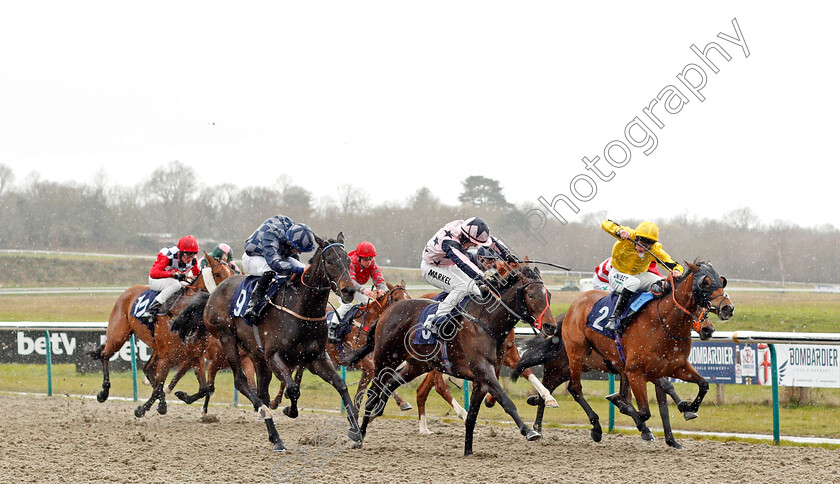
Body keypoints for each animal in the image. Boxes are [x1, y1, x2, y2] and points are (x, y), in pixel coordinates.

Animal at [87, 253, 233, 416]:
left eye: (232, 272)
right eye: (218, 274)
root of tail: (128, 291)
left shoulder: (195, 356)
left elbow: (204, 389)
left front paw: (180, 395)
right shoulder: (168, 357)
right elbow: (158, 387)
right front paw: (141, 409)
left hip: (156, 348)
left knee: (148, 369)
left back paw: (162, 403)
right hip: (118, 335)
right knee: (105, 355)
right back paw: (103, 392)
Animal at [200, 233, 364, 452]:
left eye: (348, 261)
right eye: (329, 261)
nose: (349, 290)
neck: (303, 309)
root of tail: (219, 288)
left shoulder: (316, 358)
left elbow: (340, 385)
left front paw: (355, 431)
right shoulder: (275, 356)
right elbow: (293, 388)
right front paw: (289, 409)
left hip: (256, 355)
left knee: (261, 392)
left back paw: (272, 434)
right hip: (227, 339)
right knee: (242, 382)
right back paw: (271, 426)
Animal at [344, 260, 556, 454]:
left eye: (549, 295)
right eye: (531, 295)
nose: (550, 326)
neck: (487, 322)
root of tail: (386, 312)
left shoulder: (482, 378)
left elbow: (472, 416)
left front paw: (468, 451)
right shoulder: (484, 371)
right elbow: (507, 402)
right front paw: (529, 431)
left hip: (417, 365)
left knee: (392, 383)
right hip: (385, 359)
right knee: (372, 395)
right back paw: (358, 436)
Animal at [564, 262, 736, 448]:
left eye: (721, 280)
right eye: (705, 282)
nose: (728, 308)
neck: (663, 324)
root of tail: (575, 303)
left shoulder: (675, 366)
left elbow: (701, 385)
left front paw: (687, 410)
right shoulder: (636, 372)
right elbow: (642, 411)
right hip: (577, 355)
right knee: (575, 389)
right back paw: (596, 427)